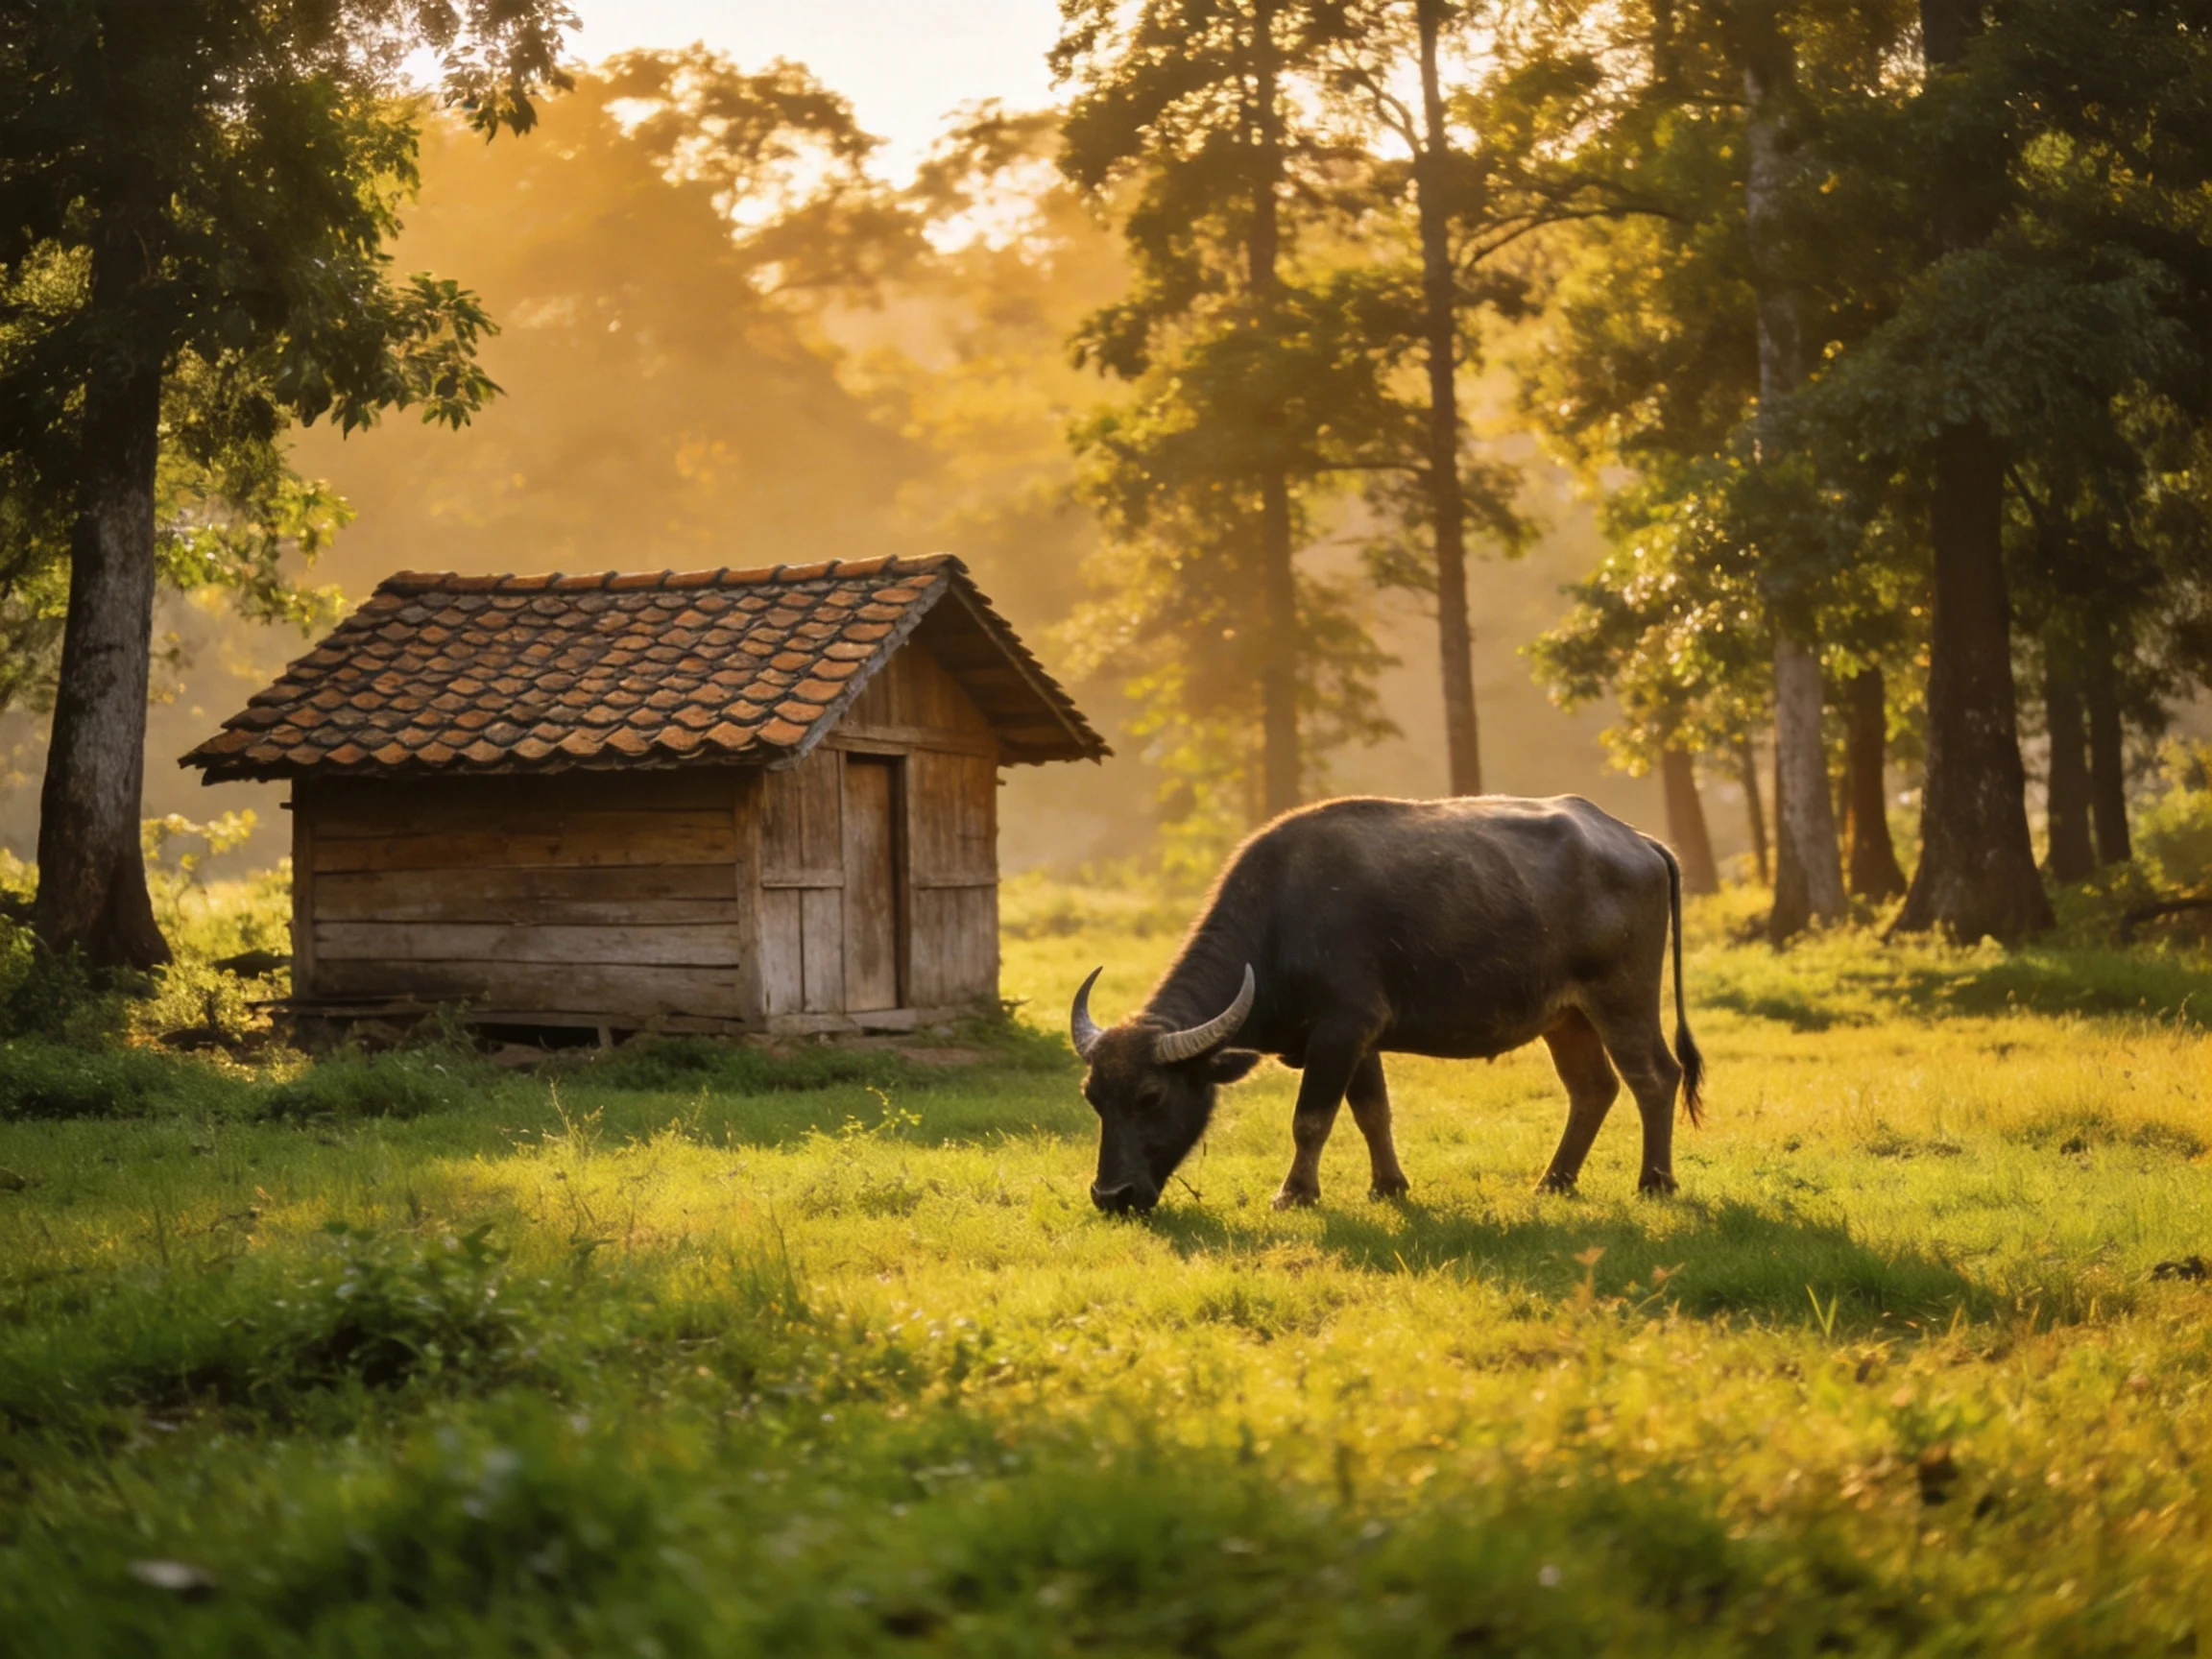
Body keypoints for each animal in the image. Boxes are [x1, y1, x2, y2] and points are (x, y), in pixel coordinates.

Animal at [1070, 794, 1703, 1213]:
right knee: (1592, 1088)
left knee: (1654, 1076)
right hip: (1567, 1018)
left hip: (1623, 999)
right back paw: (1555, 1180)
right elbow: (1372, 1112)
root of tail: (1638, 841)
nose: (1111, 1195)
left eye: (1151, 1097)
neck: (1279, 923)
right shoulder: (1358, 1040)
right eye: (1094, 1098)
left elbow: (1311, 1119)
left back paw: (1654, 1181)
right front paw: (1388, 1185)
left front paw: (1294, 1193)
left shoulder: (1341, 1030)